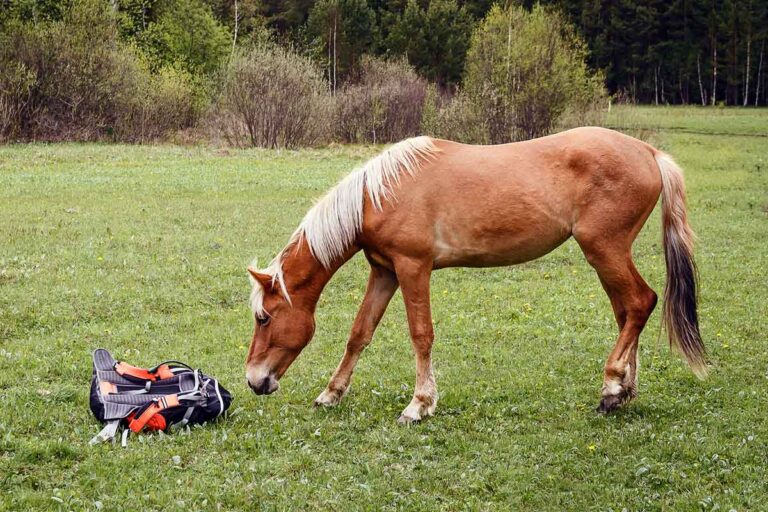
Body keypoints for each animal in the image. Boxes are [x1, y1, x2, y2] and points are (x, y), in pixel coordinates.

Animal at [245, 127, 706, 423]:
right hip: (608, 256)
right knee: (628, 312)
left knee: (640, 303)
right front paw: (331, 394)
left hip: (605, 250)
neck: (380, 193)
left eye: (263, 317)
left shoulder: (413, 268)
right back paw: (625, 390)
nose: (254, 381)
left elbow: (421, 334)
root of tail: (650, 153)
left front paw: (419, 405)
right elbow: (360, 333)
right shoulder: (385, 272)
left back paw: (612, 388)